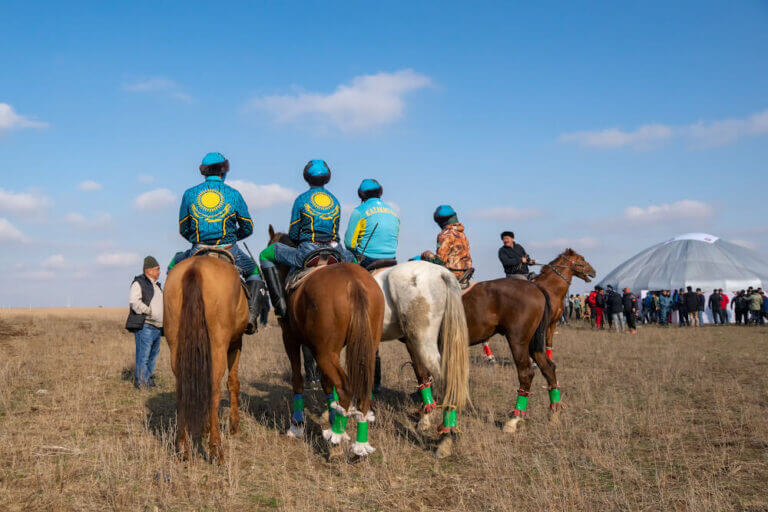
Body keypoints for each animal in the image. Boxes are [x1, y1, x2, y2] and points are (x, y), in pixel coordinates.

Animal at [164, 254, 248, 462]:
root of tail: (195, 268)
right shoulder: (236, 343)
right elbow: (233, 383)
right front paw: (234, 427)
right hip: (218, 347)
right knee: (214, 391)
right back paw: (216, 450)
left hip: (176, 347)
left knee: (182, 390)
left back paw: (182, 448)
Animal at [268, 226, 384, 458]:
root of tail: (353, 282)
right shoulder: (327, 349)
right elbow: (326, 383)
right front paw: (330, 415)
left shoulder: (291, 339)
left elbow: (298, 379)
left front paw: (297, 425)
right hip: (361, 348)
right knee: (363, 390)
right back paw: (359, 443)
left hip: (323, 353)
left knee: (346, 388)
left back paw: (336, 439)